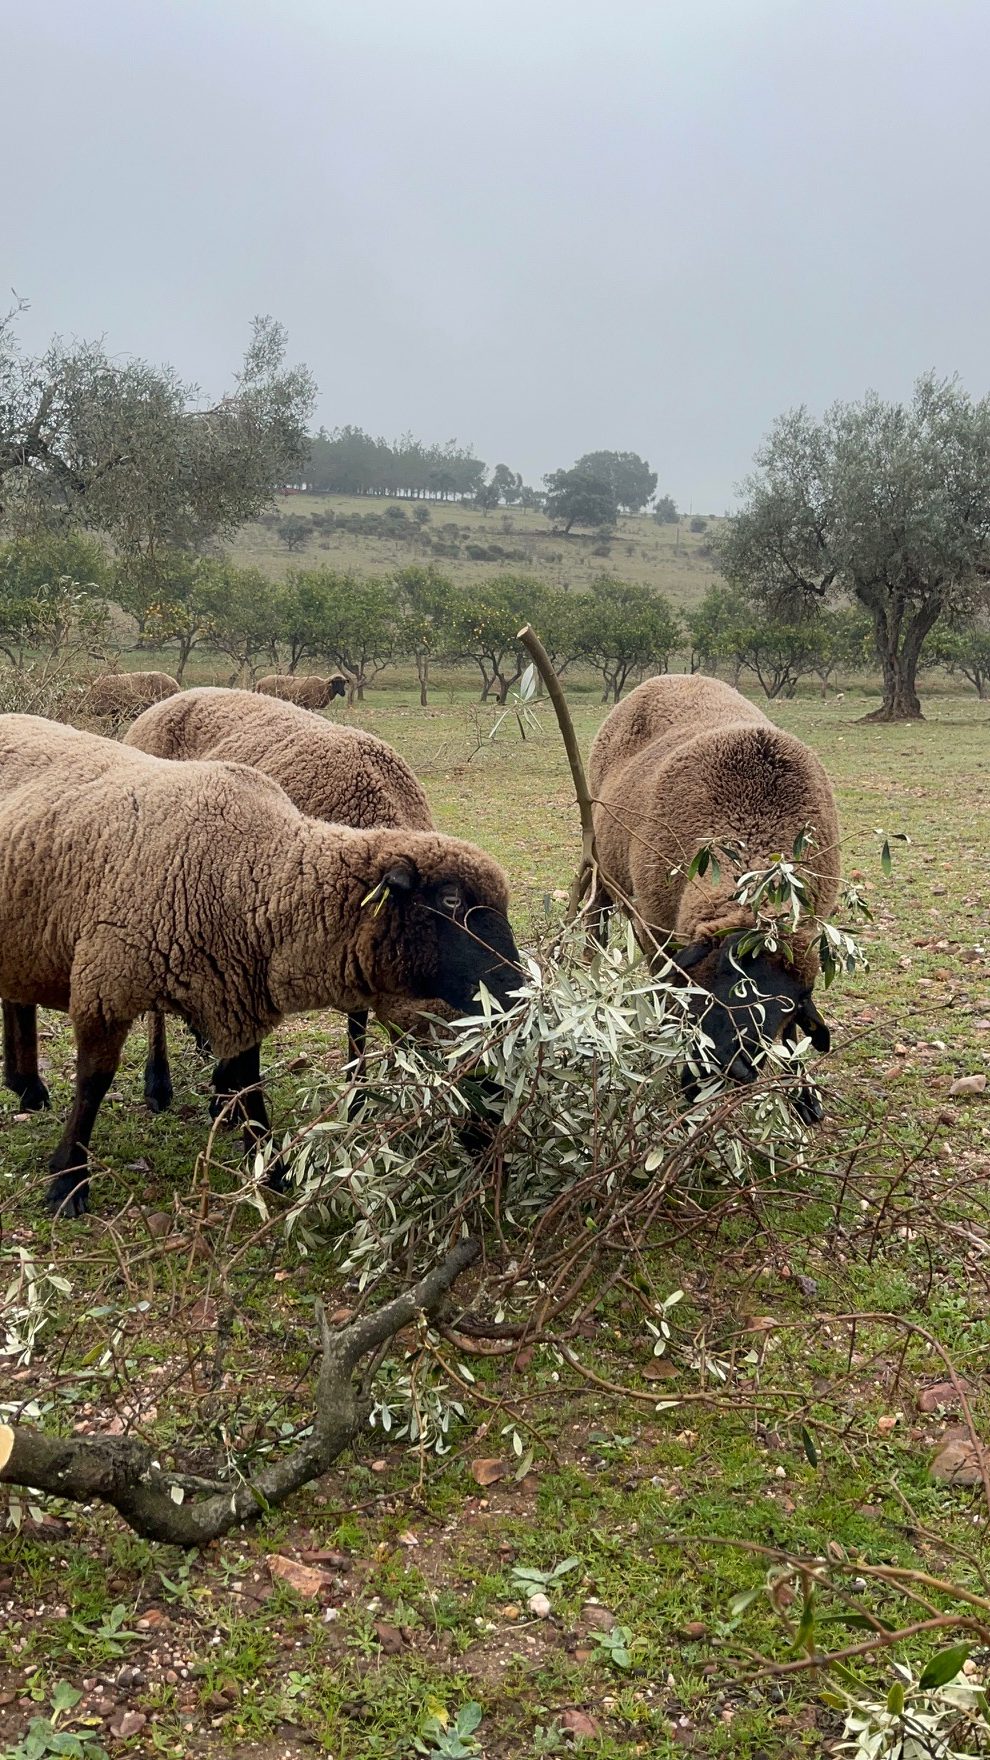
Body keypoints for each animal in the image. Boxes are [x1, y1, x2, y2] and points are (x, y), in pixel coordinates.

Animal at [589, 675, 840, 1119]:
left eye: (788, 1005)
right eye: (714, 984)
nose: (727, 1068)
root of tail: (674, 676)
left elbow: (794, 1037)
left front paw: (804, 1096)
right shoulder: (654, 929)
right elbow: (667, 996)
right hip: (601, 859)